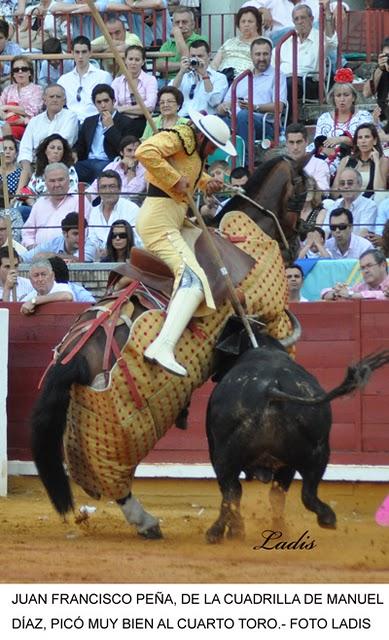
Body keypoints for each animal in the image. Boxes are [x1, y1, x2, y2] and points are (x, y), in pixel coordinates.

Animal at [205, 318, 388, 544]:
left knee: (232, 492)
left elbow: (232, 493)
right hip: (316, 450)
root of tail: (271, 388)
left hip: (224, 455)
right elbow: (276, 494)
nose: (214, 374)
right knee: (302, 492)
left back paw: (224, 532)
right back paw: (321, 519)